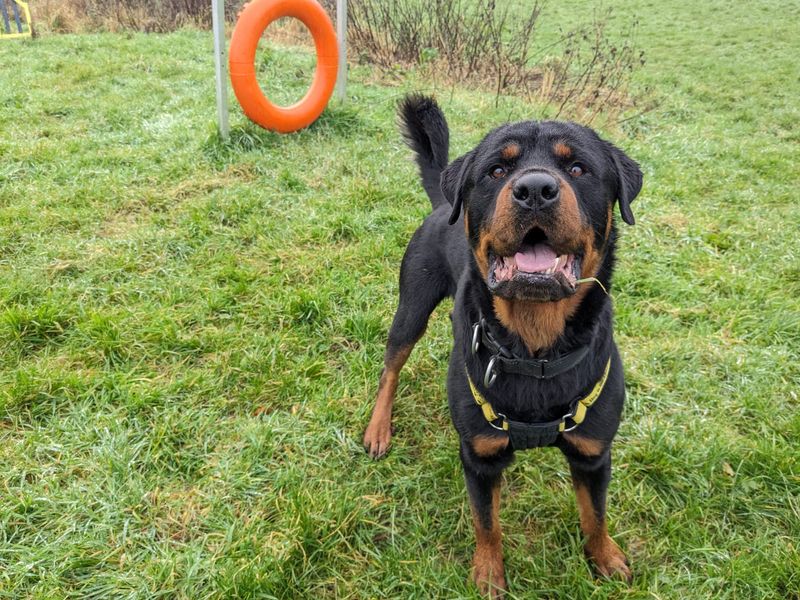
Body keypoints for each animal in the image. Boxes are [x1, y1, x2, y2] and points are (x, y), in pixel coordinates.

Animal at [362, 95, 644, 596]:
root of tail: (444, 201)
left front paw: (605, 557)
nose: (534, 189)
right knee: (390, 366)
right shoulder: (479, 455)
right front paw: (489, 573)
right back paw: (379, 428)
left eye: (578, 168)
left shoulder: (594, 453)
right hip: (411, 306)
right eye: (496, 170)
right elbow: (486, 522)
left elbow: (595, 514)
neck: (535, 350)